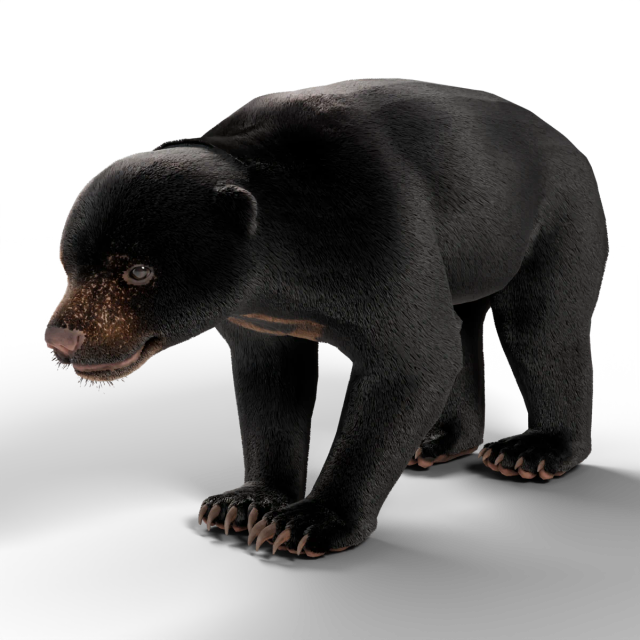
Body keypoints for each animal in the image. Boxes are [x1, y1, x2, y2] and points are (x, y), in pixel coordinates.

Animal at [44, 78, 609, 557]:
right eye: (68, 265)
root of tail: (567, 142)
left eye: (137, 271)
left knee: (540, 326)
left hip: (558, 216)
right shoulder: (258, 322)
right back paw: (440, 441)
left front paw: (308, 523)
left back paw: (532, 452)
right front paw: (240, 504)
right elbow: (272, 390)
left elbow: (412, 359)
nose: (60, 337)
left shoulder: (380, 227)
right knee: (465, 325)